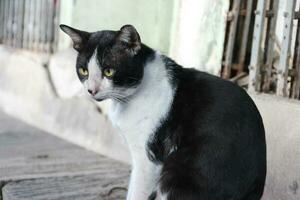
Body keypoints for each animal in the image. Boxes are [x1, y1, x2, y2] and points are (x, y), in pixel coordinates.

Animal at [59, 24, 266, 199]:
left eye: (109, 71)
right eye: (84, 71)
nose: (91, 90)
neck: (125, 100)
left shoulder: (148, 159)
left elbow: (136, 192)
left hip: (176, 170)